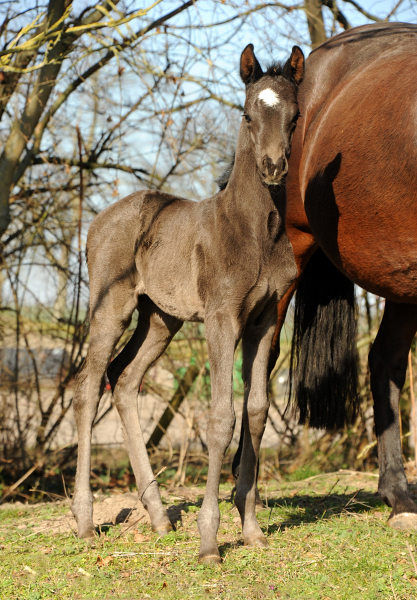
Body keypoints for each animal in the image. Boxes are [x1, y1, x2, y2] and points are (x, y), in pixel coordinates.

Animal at [71, 43, 304, 564]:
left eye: (295, 116)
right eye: (247, 113)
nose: (273, 166)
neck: (257, 232)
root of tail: (97, 222)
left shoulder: (264, 321)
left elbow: (256, 410)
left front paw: (252, 529)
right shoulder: (221, 319)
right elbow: (221, 417)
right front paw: (209, 541)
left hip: (161, 319)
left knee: (125, 379)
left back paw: (159, 517)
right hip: (111, 306)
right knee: (89, 385)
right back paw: (84, 519)